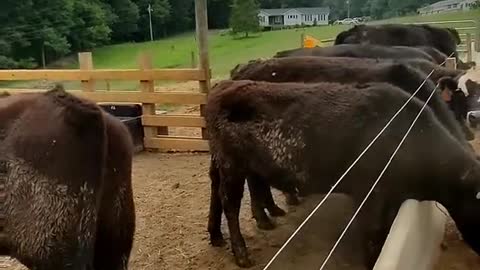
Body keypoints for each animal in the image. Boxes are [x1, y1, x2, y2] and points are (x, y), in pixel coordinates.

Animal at [206, 78, 480, 268]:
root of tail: (222, 87)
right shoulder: (371, 197)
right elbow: (373, 237)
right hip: (231, 166)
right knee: (230, 205)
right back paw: (241, 253)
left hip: (232, 165)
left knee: (225, 192)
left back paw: (225, 232)